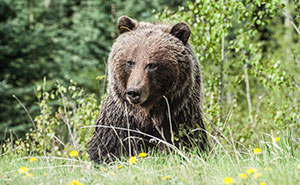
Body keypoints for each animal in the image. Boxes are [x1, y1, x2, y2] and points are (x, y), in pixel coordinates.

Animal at [88, 15, 207, 163]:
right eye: (130, 62)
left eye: (152, 65)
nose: (133, 92)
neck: (147, 114)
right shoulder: (119, 122)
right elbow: (107, 149)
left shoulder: (179, 118)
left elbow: (186, 143)